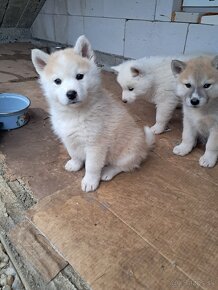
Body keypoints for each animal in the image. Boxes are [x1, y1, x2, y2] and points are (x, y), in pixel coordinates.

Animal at [31, 35, 154, 191]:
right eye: (57, 81)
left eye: (79, 76)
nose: (71, 94)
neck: (75, 114)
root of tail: (145, 145)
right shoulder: (68, 138)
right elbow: (73, 153)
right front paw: (75, 164)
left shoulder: (95, 144)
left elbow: (91, 166)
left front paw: (90, 181)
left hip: (128, 151)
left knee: (124, 166)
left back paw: (107, 172)